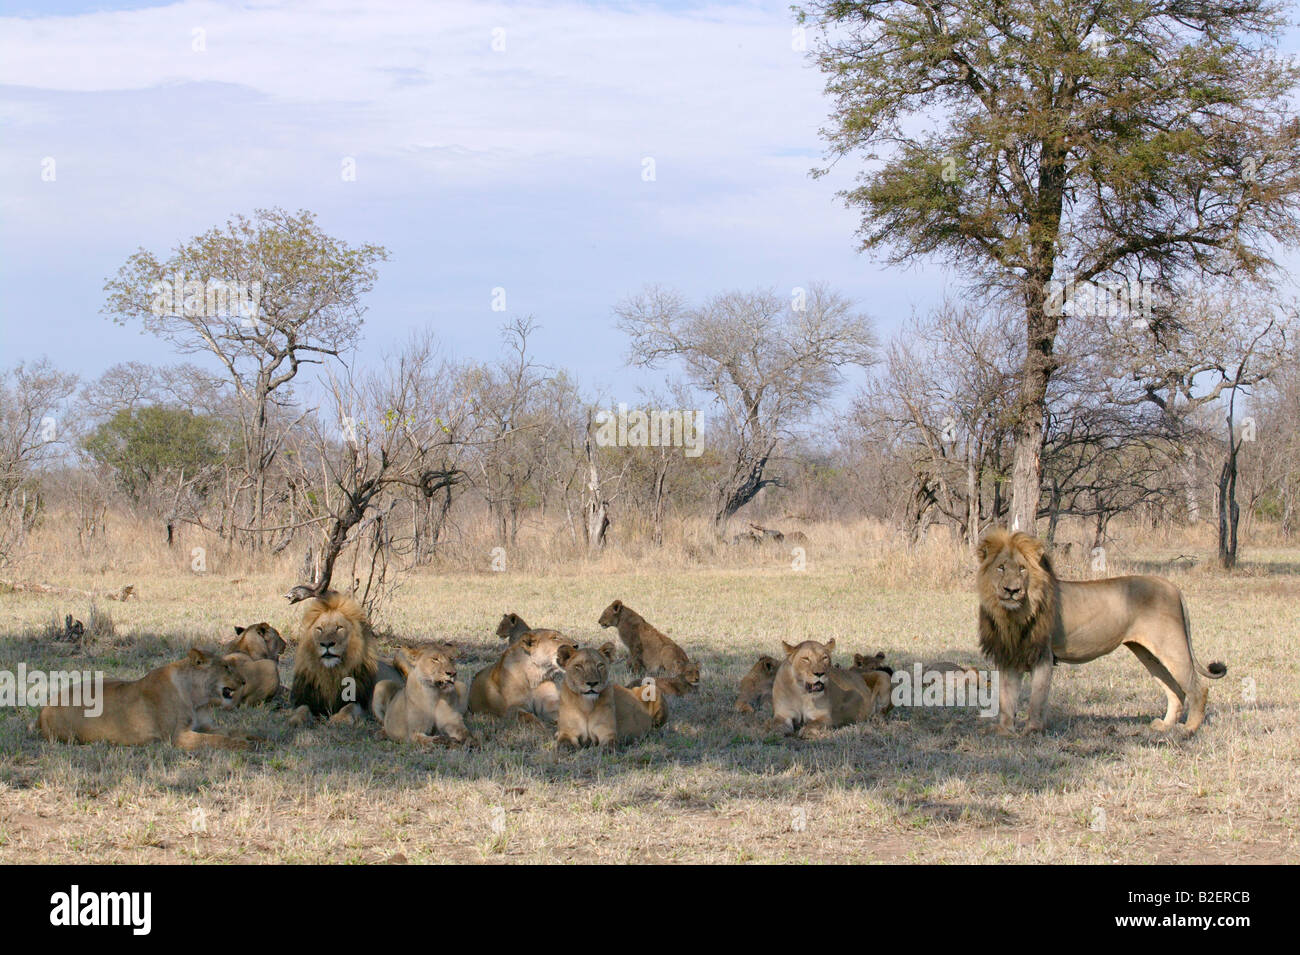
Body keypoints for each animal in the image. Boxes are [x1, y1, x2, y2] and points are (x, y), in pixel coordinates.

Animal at [37, 648, 251, 750]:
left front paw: (254, 737)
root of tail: (44, 709)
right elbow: (217, 740)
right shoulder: (177, 737)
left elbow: (233, 731)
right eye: (226, 667)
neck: (197, 698)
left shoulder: (204, 725)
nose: (244, 681)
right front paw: (245, 745)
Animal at [289, 590, 387, 726]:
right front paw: (295, 720)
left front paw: (339, 719)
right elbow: (301, 709)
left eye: (339, 627)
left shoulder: (360, 702)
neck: (331, 673)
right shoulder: (306, 699)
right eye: (319, 629)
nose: (327, 644)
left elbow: (349, 707)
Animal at [976, 529, 1227, 736]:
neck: (1011, 615)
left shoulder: (1043, 656)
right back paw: (1165, 726)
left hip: (1171, 647)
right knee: (1175, 690)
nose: (1012, 590)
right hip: (1148, 654)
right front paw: (1004, 731)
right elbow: (1006, 698)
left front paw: (1032, 731)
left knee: (1198, 689)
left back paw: (1188, 729)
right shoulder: (1009, 655)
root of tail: (1172, 587)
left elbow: (1036, 700)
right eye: (1001, 568)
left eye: (1022, 569)